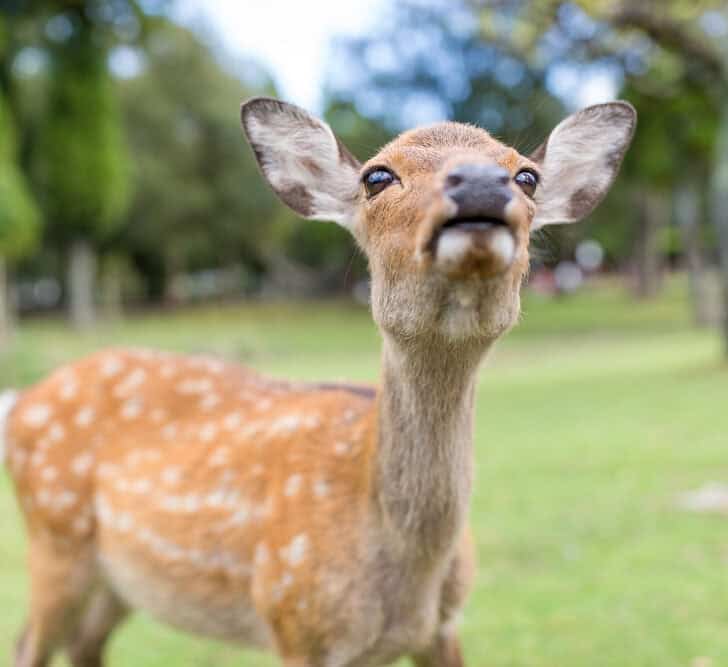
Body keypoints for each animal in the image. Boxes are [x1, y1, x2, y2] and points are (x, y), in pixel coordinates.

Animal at [1, 95, 632, 667]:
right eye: (377, 176)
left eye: (527, 175)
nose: (480, 182)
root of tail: (22, 399)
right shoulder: (294, 620)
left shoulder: (445, 626)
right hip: (55, 539)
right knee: (30, 643)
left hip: (120, 579)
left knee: (86, 645)